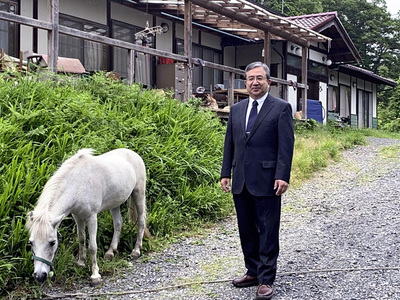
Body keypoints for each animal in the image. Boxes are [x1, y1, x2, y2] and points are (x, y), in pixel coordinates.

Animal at [26, 148, 150, 286]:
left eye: (52, 242)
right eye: (31, 242)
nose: (39, 276)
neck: (77, 184)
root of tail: (133, 153)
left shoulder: (92, 218)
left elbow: (92, 246)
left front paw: (95, 276)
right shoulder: (78, 217)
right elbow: (81, 239)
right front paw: (80, 263)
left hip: (138, 193)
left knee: (141, 220)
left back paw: (136, 250)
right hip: (115, 203)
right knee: (118, 223)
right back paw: (110, 252)